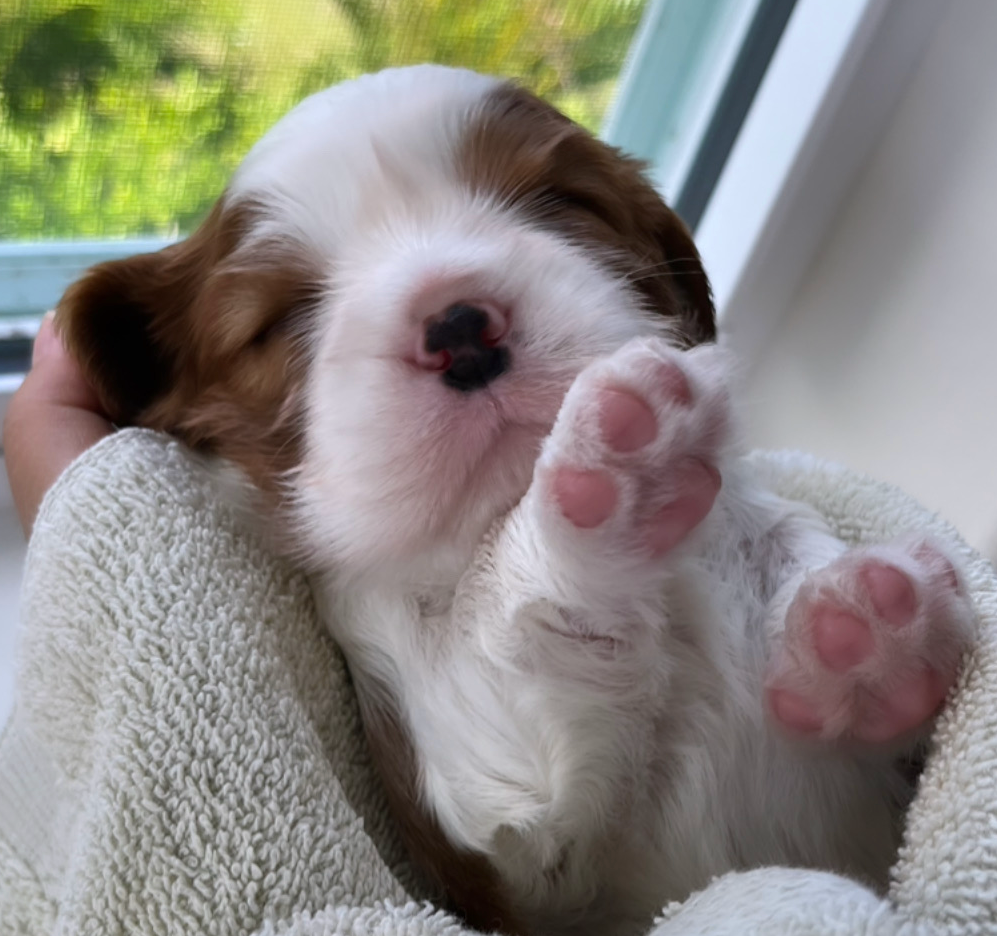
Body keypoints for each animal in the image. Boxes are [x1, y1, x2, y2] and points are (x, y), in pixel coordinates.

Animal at [55, 65, 975, 936]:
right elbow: (509, 693)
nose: (459, 325)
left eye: (560, 202)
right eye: (280, 321)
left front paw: (861, 628)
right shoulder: (493, 833)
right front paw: (615, 466)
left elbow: (790, 539)